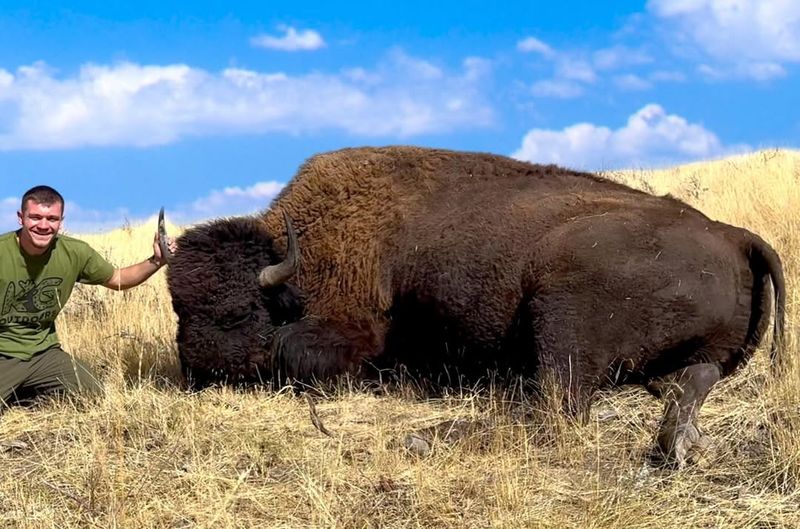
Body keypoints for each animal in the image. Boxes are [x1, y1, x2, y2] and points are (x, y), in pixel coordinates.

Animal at [164, 146, 788, 464]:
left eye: (240, 311)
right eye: (177, 308)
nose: (198, 371)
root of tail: (734, 235)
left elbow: (294, 354)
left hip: (560, 311)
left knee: (556, 407)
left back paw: (429, 434)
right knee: (687, 380)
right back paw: (682, 438)